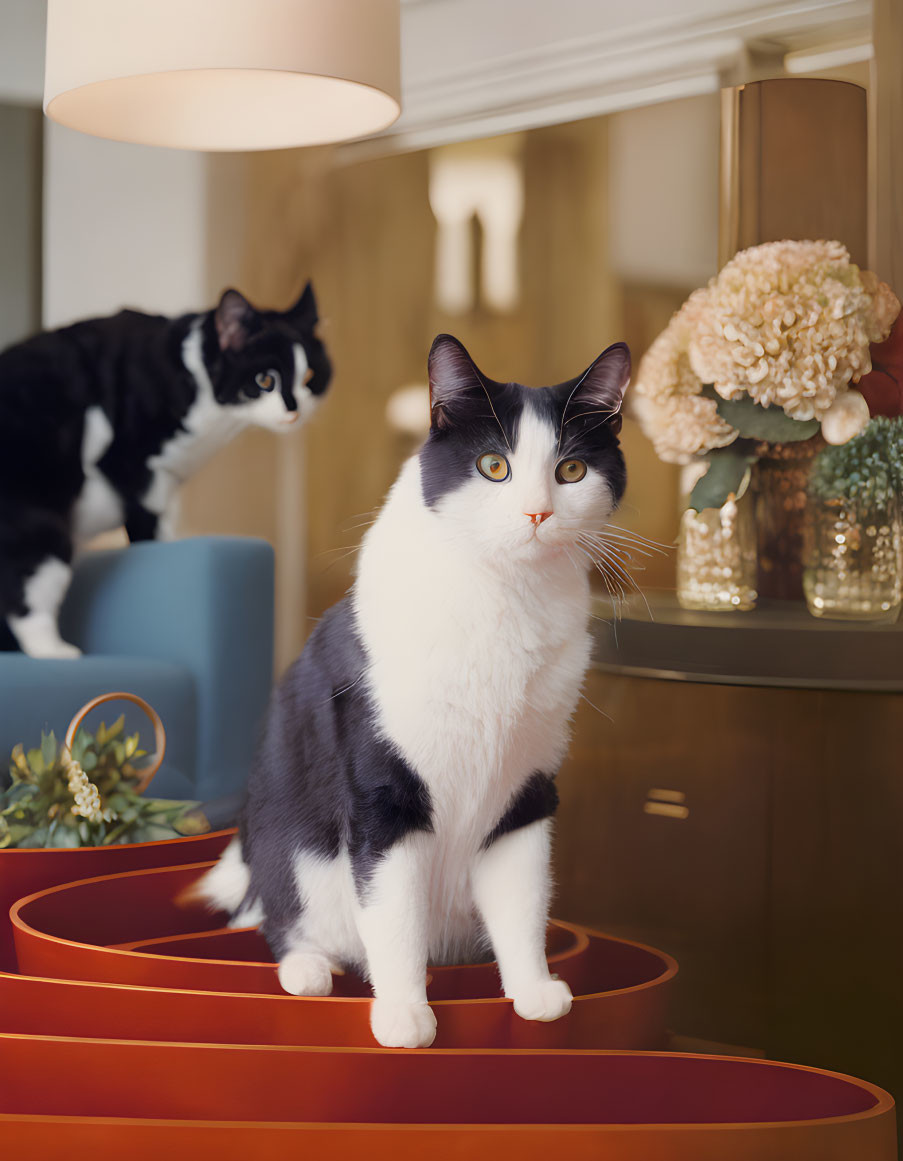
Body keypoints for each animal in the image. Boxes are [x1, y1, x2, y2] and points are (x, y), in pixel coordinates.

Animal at [0, 285, 329, 659]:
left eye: (309, 378)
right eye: (265, 380)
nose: (294, 411)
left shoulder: (165, 486)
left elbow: (166, 531)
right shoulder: (130, 468)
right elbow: (149, 533)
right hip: (39, 525)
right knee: (27, 592)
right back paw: (56, 651)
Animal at [193, 334, 631, 1054]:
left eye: (571, 470)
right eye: (493, 466)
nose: (537, 513)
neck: (503, 598)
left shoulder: (527, 792)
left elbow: (522, 900)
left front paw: (532, 989)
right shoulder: (384, 793)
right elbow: (394, 912)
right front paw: (402, 1012)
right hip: (288, 848)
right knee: (282, 918)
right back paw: (308, 967)